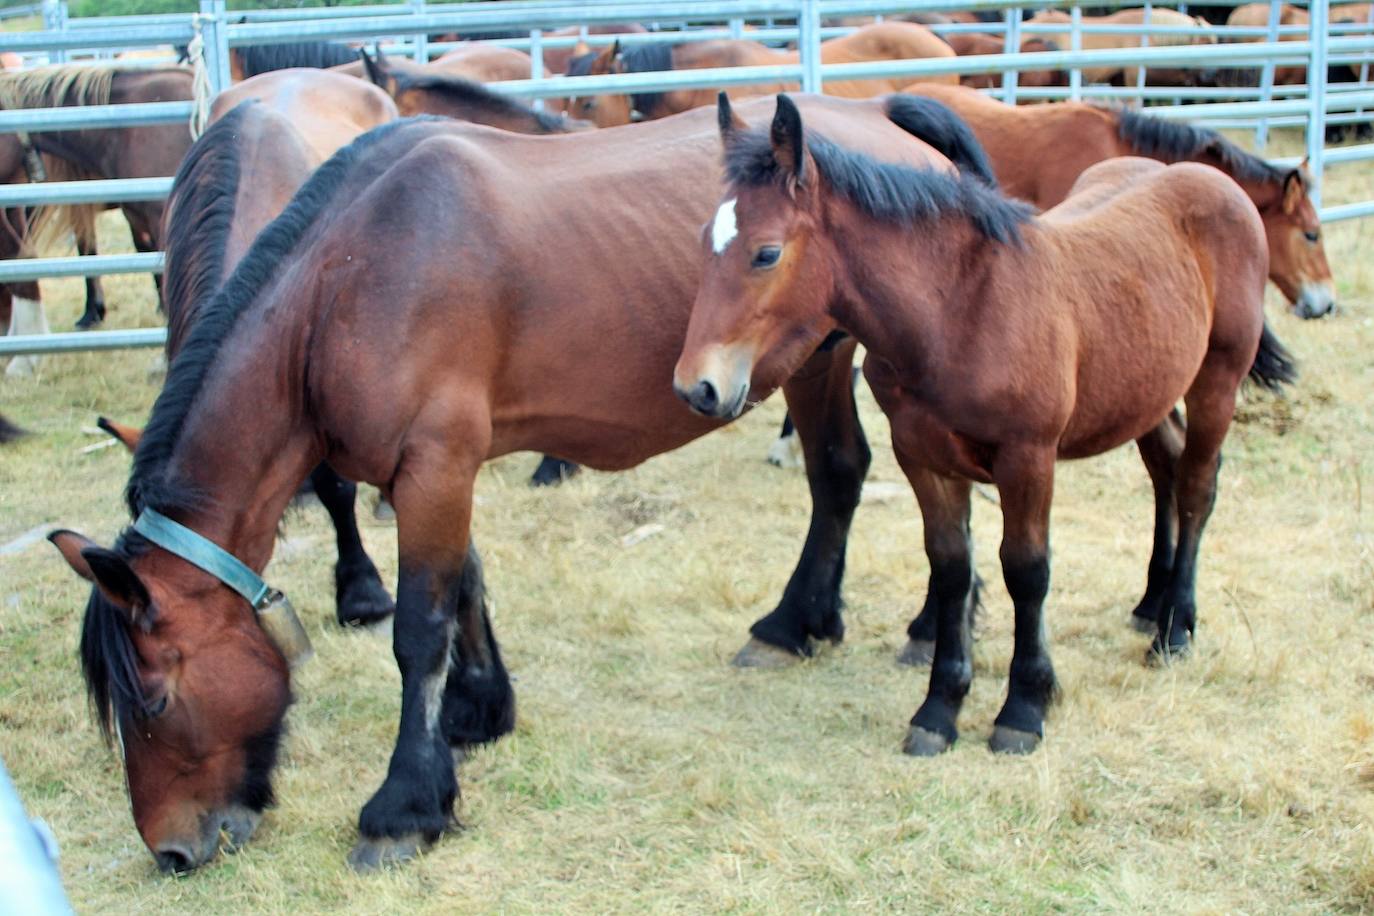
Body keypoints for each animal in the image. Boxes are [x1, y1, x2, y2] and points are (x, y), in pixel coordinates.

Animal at [45, 91, 1000, 873]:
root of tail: (882, 116)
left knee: (868, 482)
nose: (172, 850)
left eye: (153, 697)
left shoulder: (435, 463)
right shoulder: (436, 469)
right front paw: (477, 715)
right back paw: (820, 623)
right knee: (843, 476)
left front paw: (405, 807)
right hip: (817, 362)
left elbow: (418, 631)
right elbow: (463, 584)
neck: (348, 279)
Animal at [676, 94, 1297, 758]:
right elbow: (950, 566)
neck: (958, 311)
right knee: (1167, 468)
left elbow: (1026, 570)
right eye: (704, 241)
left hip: (1217, 378)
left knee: (1198, 485)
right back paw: (1151, 604)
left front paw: (1024, 707)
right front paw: (938, 709)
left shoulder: (1029, 457)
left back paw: (1175, 630)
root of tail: (1213, 180)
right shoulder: (921, 455)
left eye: (766, 252)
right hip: (1143, 389)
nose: (696, 387)